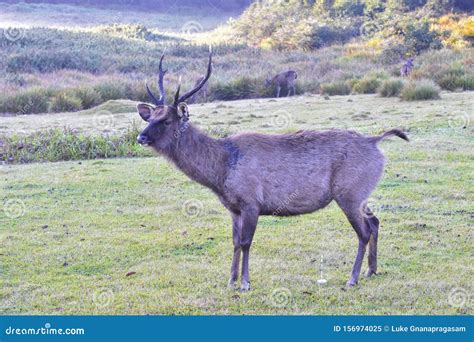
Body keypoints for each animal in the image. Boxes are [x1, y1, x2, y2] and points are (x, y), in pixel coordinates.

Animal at [136, 50, 408, 292]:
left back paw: (352, 278)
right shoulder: (233, 208)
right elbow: (235, 243)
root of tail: (375, 142)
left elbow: (246, 242)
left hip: (349, 192)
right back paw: (371, 270)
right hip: (361, 194)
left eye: (166, 120)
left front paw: (245, 283)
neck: (221, 172)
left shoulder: (251, 202)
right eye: (149, 118)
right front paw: (230, 281)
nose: (140, 137)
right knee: (374, 221)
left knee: (363, 231)